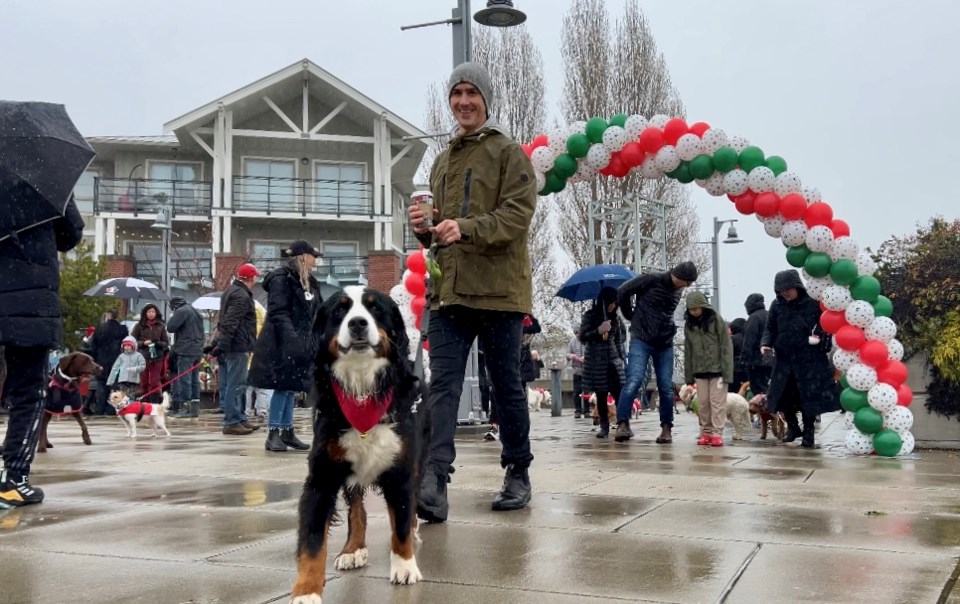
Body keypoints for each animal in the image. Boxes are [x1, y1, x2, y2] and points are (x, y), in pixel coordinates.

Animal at [288, 286, 432, 600]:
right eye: (339, 310)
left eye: (374, 308)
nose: (357, 324)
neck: (363, 390)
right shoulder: (322, 476)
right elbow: (312, 542)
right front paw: (306, 590)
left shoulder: (401, 469)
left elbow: (401, 521)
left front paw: (405, 566)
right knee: (357, 510)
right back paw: (353, 549)